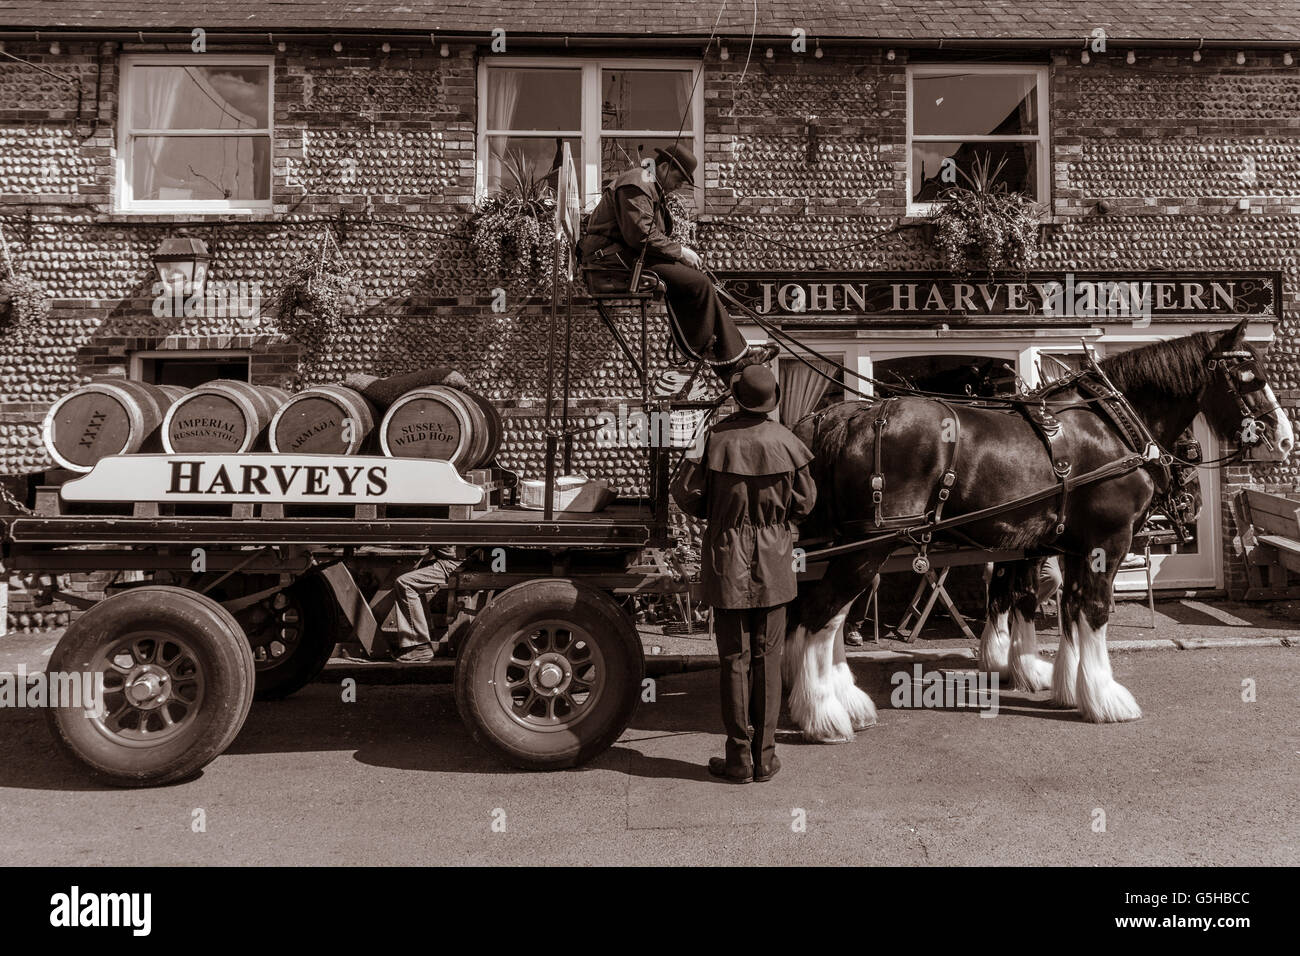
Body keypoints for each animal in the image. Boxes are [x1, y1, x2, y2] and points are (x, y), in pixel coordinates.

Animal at [785, 325, 1294, 743]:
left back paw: (840, 701)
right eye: (1248, 376)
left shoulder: (1065, 547)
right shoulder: (1105, 544)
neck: (1113, 428)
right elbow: (1091, 610)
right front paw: (1105, 697)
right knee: (820, 614)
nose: (1284, 438)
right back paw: (824, 715)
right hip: (867, 547)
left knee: (823, 615)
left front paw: (1067, 685)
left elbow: (1062, 607)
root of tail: (844, 418)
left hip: (845, 546)